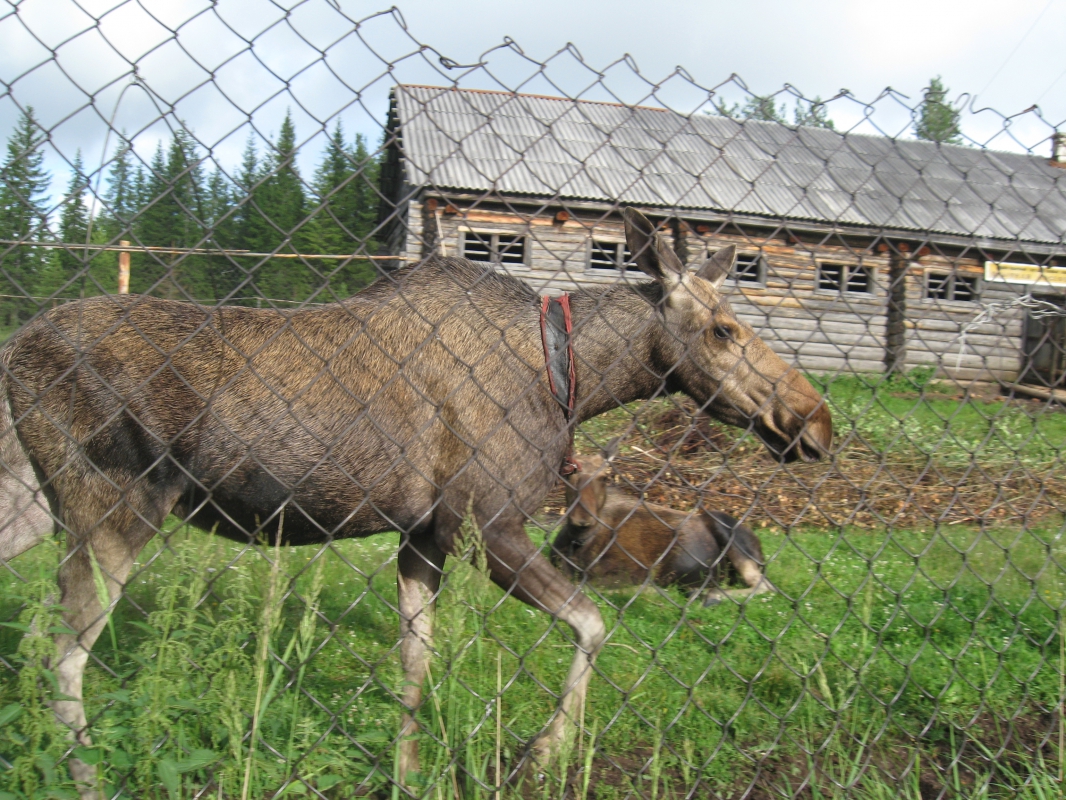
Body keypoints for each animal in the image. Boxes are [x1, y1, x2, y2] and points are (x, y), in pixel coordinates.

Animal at [550, 441, 776, 605]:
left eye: (605, 477)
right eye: (568, 475)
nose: (582, 519)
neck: (578, 543)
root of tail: (760, 548)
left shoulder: (633, 571)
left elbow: (591, 586)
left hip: (727, 531)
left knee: (765, 585)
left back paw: (705, 594)